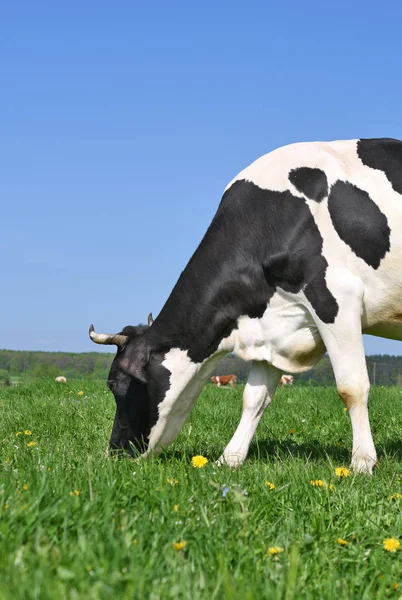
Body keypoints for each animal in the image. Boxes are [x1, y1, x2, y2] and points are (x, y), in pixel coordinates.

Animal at [89, 137, 402, 474]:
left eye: (114, 384)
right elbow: (254, 398)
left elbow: (351, 388)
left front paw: (362, 462)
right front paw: (230, 458)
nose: (115, 451)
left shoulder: (336, 297)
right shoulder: (272, 328)